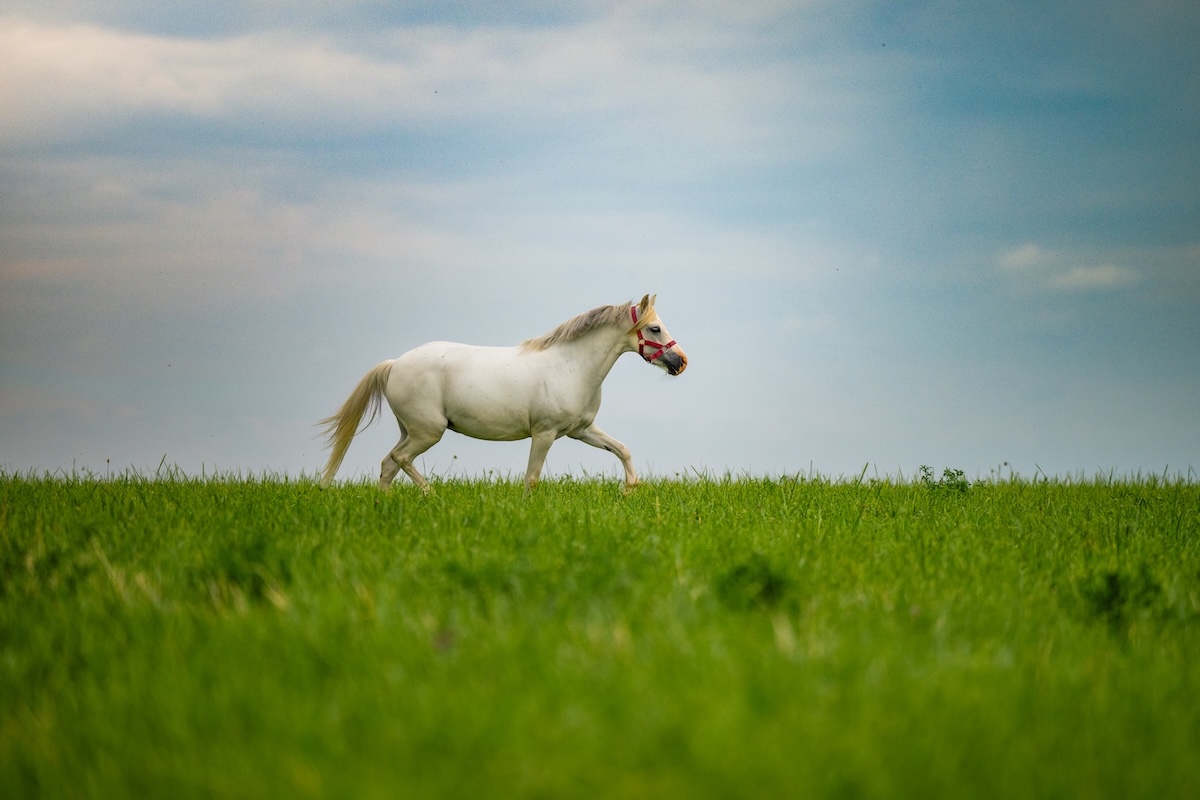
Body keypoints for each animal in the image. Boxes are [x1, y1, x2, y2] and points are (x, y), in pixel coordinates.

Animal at [317, 294, 687, 494]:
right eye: (655, 328)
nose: (681, 361)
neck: (571, 366)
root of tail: (395, 364)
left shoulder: (581, 431)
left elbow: (622, 450)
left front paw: (628, 491)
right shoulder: (544, 433)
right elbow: (532, 478)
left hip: (409, 429)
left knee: (387, 465)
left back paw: (384, 504)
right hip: (427, 431)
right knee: (400, 459)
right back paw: (431, 494)